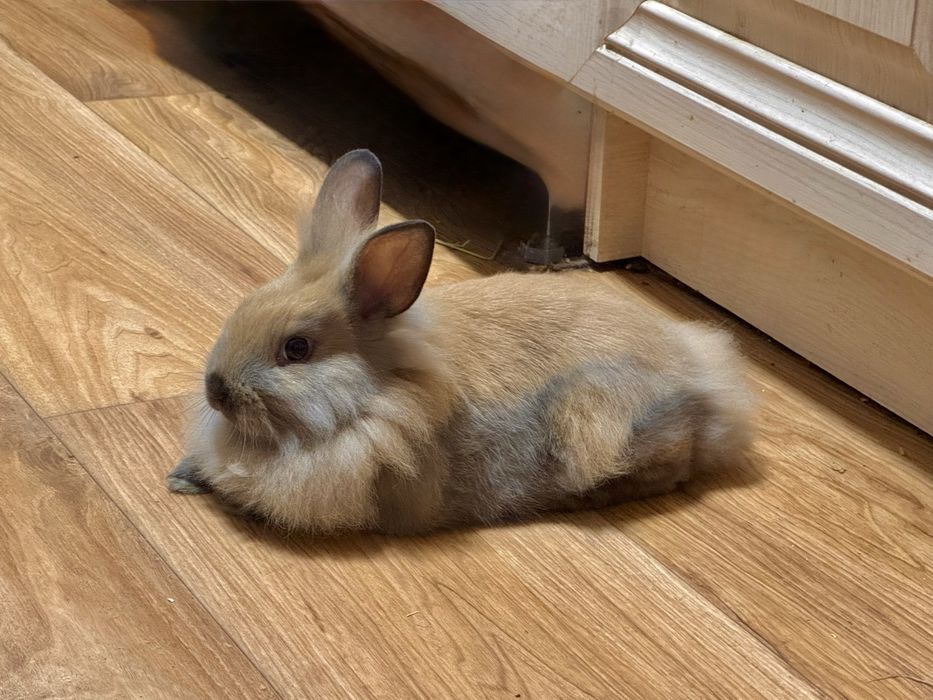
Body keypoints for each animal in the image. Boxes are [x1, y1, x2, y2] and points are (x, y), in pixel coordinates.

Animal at [167, 149, 755, 535]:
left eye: (296, 350)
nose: (216, 389)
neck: (376, 394)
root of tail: (710, 380)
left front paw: (195, 485)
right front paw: (185, 475)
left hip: (597, 418)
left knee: (669, 470)